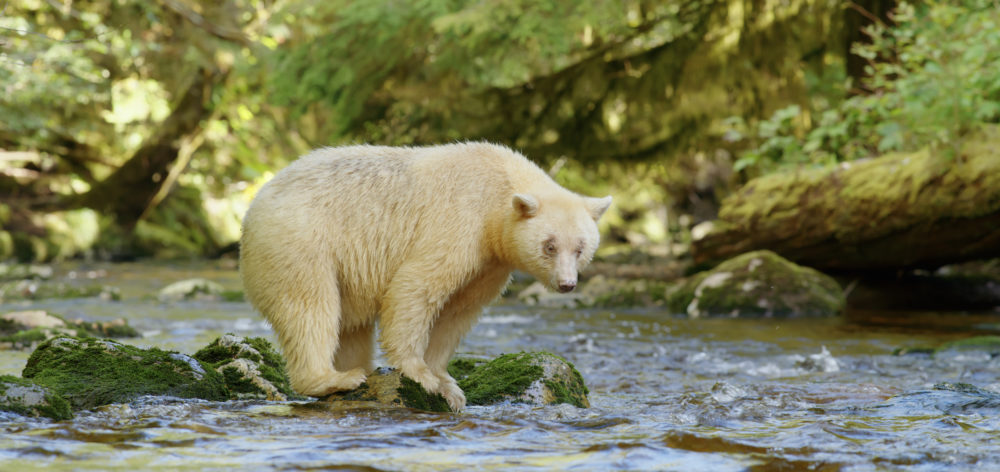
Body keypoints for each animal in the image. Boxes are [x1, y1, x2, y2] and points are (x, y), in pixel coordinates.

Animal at [239, 142, 611, 411]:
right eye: (550, 245)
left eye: (581, 247)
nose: (567, 284)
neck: (498, 191)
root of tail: (256, 202)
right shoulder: (459, 222)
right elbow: (417, 286)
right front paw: (421, 375)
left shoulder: (489, 263)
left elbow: (457, 312)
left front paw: (448, 385)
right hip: (300, 242)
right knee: (310, 307)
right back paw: (336, 378)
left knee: (350, 326)